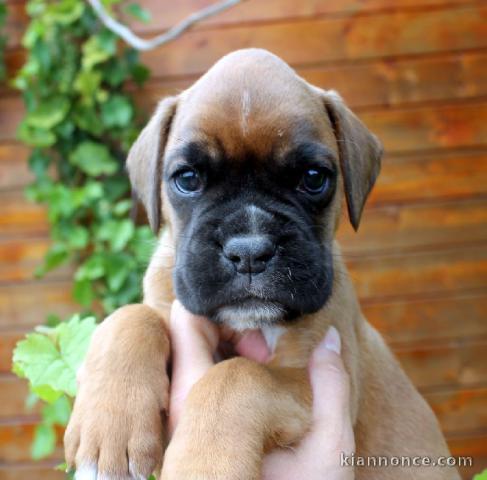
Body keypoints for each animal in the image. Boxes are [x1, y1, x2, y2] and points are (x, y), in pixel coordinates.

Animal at [66, 49, 462, 480]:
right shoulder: (164, 305)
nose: (250, 251)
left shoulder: (311, 378)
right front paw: (110, 426)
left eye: (314, 177)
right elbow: (128, 318)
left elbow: (238, 376)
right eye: (187, 178)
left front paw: (203, 463)